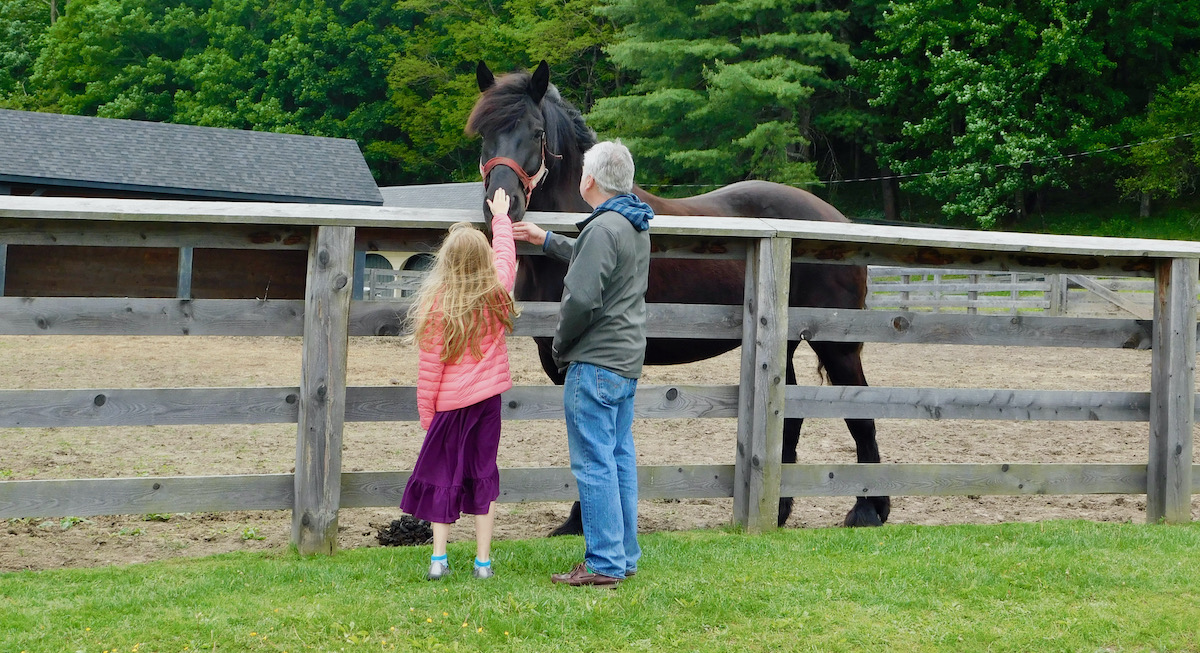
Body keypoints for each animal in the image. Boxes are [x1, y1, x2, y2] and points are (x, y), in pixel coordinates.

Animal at [468, 60, 892, 535]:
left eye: (536, 131)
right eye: (483, 132)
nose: (501, 204)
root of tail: (836, 219)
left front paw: (582, 520)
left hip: (838, 345)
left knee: (861, 413)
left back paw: (868, 509)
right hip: (783, 344)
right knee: (792, 414)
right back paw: (781, 510)